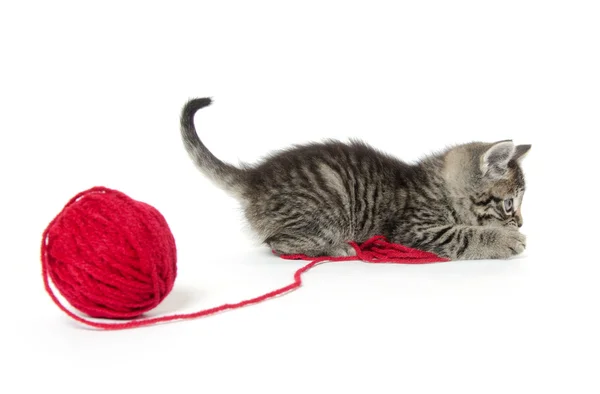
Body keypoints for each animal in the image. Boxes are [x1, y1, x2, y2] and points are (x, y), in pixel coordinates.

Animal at [178, 97, 528, 260]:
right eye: (510, 204)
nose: (521, 222)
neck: (438, 186)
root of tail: (255, 178)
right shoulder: (412, 229)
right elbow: (462, 234)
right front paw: (505, 239)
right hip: (325, 212)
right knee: (278, 242)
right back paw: (337, 248)